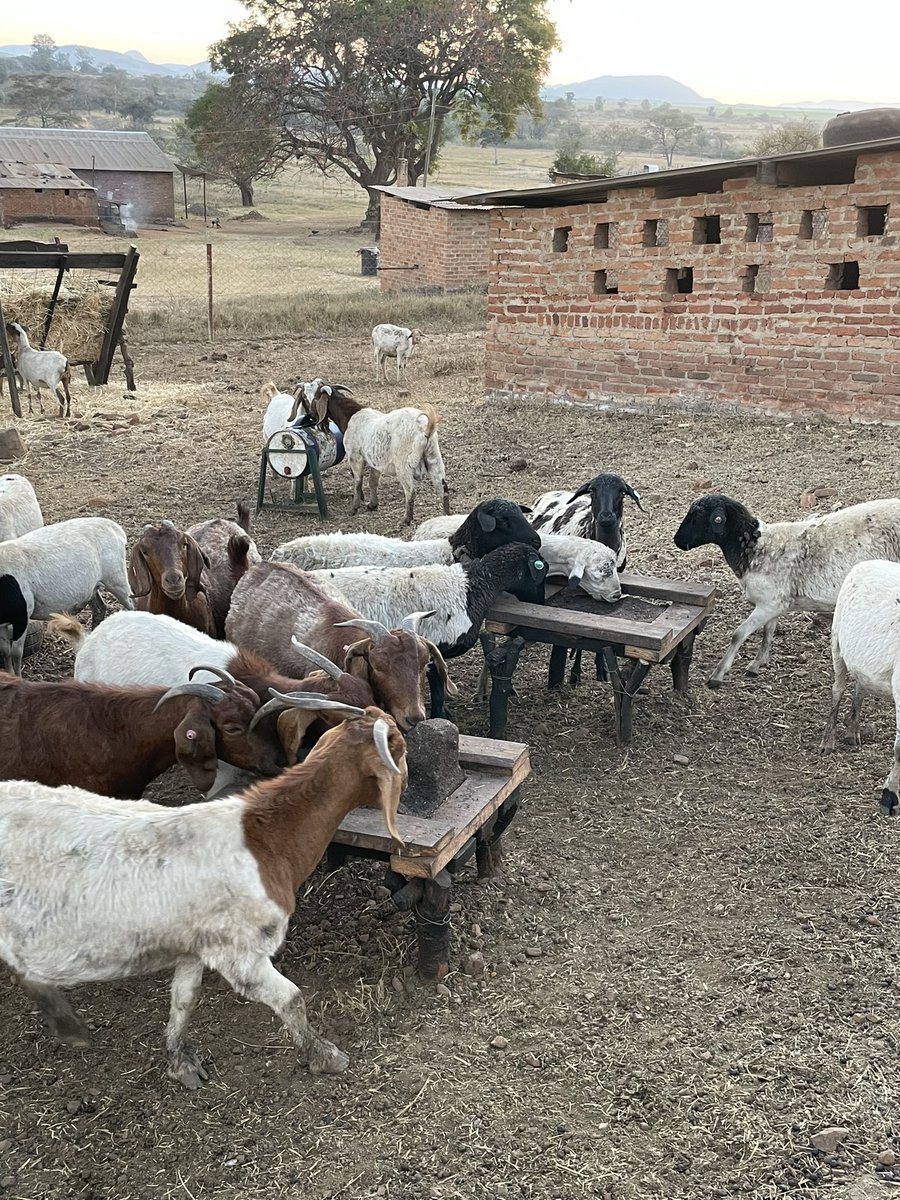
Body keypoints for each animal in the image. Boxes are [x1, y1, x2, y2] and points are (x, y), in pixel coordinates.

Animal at [0, 516, 132, 675]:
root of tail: (115, 527)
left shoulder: (24, 613)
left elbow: (16, 653)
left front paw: (18, 677)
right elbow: (5, 651)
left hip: (116, 577)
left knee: (133, 603)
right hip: (92, 588)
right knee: (100, 608)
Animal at [0, 696, 406, 1088]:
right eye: (399, 747)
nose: (406, 778)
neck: (264, 840)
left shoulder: (196, 944)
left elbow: (184, 999)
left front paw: (181, 1062)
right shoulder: (241, 952)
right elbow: (291, 999)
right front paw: (323, 1056)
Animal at [674, 493, 900, 688]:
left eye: (697, 517)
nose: (677, 540)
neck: (754, 547)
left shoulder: (768, 604)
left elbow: (739, 634)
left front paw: (718, 674)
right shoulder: (775, 605)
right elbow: (768, 632)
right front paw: (757, 664)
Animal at [821, 560, 900, 816]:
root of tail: (869, 562)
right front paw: (889, 797)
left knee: (860, 687)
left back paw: (852, 732)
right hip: (837, 641)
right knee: (838, 689)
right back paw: (828, 741)